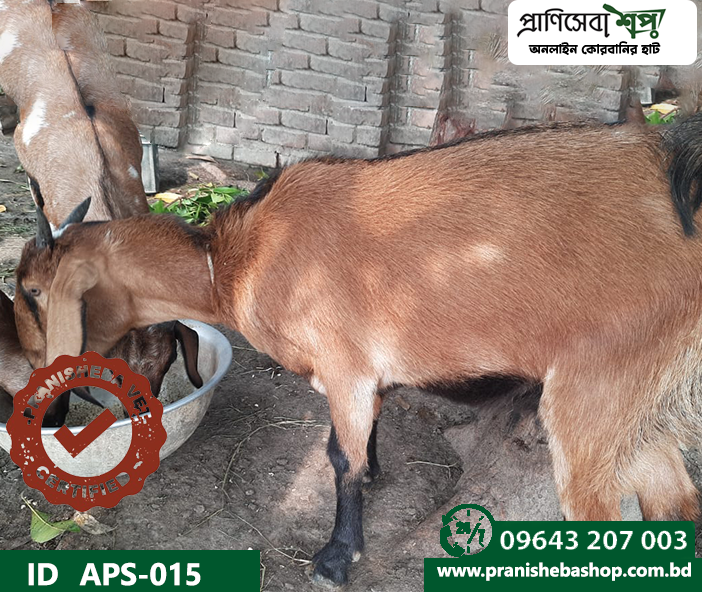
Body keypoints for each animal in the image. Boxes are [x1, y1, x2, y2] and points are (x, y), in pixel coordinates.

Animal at [17, 116, 702, 584]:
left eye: (30, 290)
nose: (46, 399)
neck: (234, 261)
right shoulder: (357, 378)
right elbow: (348, 445)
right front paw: (373, 474)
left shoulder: (344, 366)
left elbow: (339, 460)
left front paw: (337, 556)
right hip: (647, 409)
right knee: (677, 504)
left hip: (596, 395)